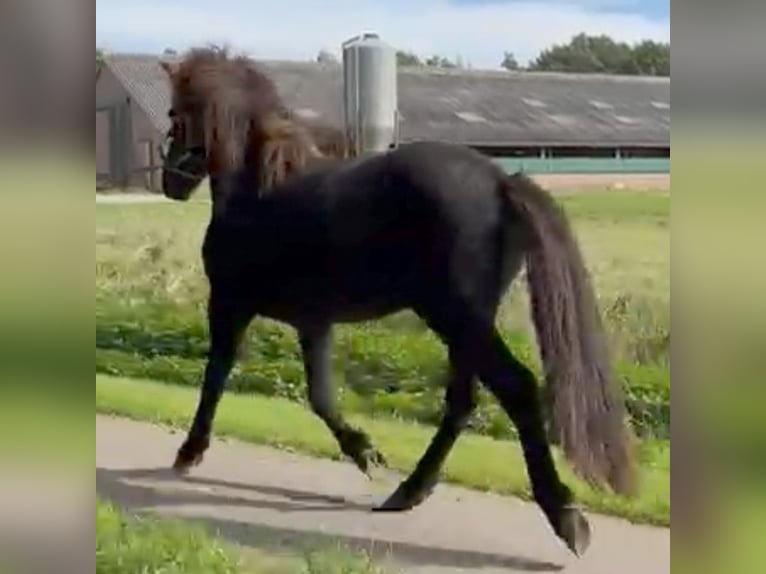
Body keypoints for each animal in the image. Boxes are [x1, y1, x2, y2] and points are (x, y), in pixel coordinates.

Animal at [156, 47, 636, 560]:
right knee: (463, 401)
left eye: (174, 114)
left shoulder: (228, 305)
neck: (260, 188)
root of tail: (500, 182)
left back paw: (565, 517)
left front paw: (188, 453)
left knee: (517, 389)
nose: (170, 181)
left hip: (454, 315)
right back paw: (409, 491)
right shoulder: (313, 322)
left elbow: (215, 379)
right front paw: (366, 452)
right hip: (465, 322)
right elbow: (320, 396)